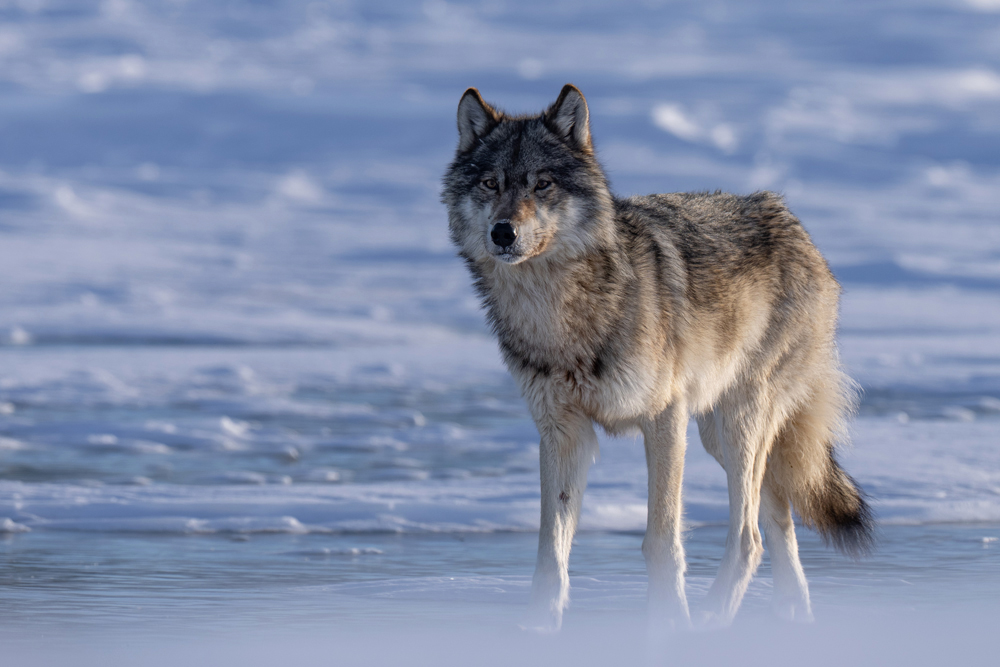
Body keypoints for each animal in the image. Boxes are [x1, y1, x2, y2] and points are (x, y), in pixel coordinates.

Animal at [441, 84, 874, 631]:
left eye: (542, 185)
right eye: (490, 183)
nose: (503, 233)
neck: (561, 312)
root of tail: (794, 225)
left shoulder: (665, 419)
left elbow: (662, 542)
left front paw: (669, 622)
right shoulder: (562, 432)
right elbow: (551, 547)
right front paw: (540, 625)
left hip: (736, 425)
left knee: (749, 536)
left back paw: (713, 618)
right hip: (718, 434)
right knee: (777, 520)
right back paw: (792, 618)